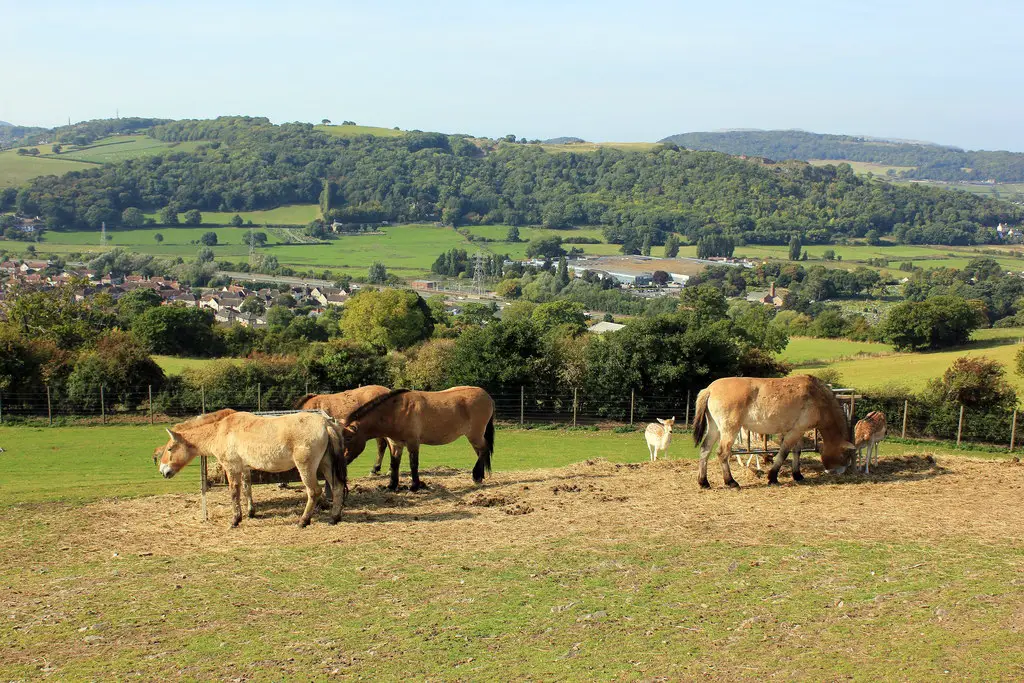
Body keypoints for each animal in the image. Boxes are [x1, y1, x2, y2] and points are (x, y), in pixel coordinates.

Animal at [156, 409, 348, 528]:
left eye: (170, 449)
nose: (163, 471)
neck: (222, 431)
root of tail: (326, 424)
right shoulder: (245, 468)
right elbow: (247, 488)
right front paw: (250, 512)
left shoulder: (232, 467)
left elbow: (234, 492)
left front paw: (235, 520)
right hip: (326, 465)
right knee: (337, 488)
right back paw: (334, 518)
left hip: (307, 467)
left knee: (314, 491)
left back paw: (303, 521)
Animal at [339, 385, 495, 491]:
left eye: (348, 438)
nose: (343, 460)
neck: (396, 411)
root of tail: (487, 396)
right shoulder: (396, 445)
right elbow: (394, 464)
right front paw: (392, 485)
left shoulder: (413, 442)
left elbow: (413, 464)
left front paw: (415, 486)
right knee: (481, 453)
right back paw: (480, 476)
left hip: (475, 435)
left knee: (484, 449)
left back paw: (476, 476)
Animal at [692, 374, 851, 491]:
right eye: (844, 455)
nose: (841, 471)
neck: (817, 395)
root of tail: (709, 389)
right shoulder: (796, 431)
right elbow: (784, 452)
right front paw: (773, 477)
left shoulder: (796, 430)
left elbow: (796, 452)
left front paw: (797, 474)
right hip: (729, 429)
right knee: (723, 453)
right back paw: (731, 482)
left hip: (715, 428)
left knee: (705, 449)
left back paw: (703, 482)